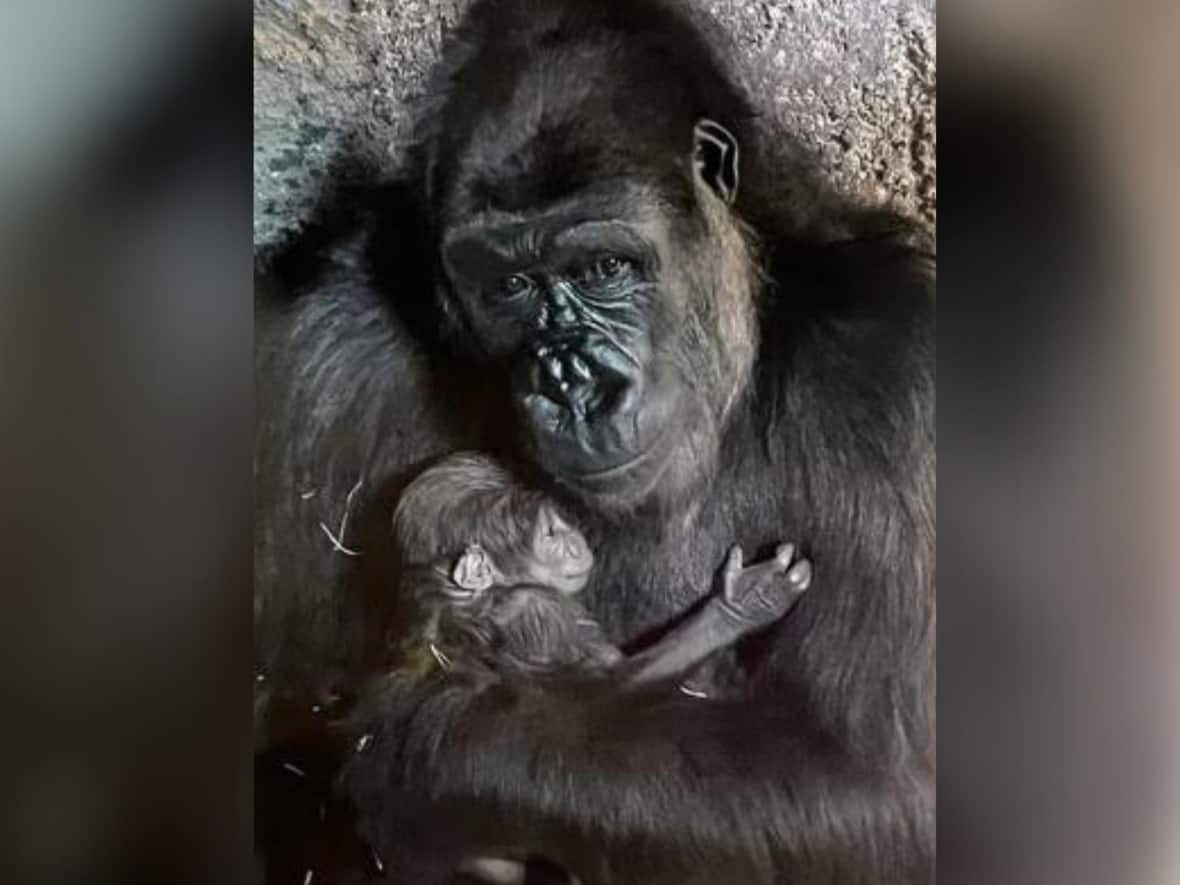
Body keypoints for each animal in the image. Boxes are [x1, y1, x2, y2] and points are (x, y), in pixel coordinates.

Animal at [391, 457, 816, 693]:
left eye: (557, 520)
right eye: (550, 533)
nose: (574, 537)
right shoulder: (540, 611)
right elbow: (612, 684)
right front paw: (743, 605)